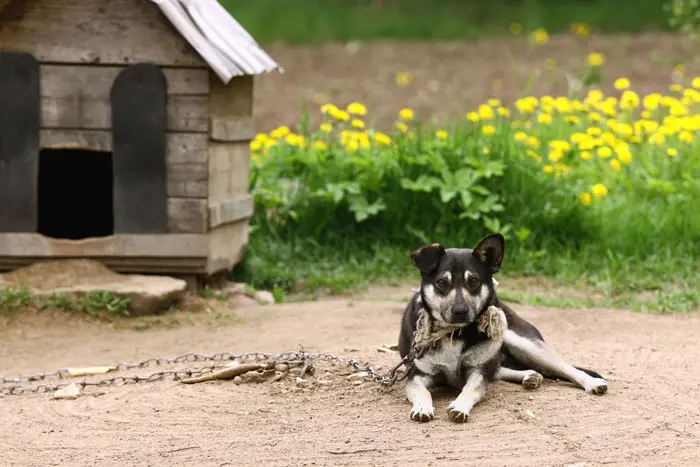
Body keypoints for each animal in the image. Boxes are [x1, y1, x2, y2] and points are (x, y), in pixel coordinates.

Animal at [400, 234, 608, 424]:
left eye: (474, 281)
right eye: (441, 283)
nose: (460, 311)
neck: (453, 332)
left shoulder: (478, 372)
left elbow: (470, 389)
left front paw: (459, 406)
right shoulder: (417, 376)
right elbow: (423, 392)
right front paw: (422, 408)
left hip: (523, 343)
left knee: (565, 367)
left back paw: (591, 382)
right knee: (500, 369)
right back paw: (530, 376)